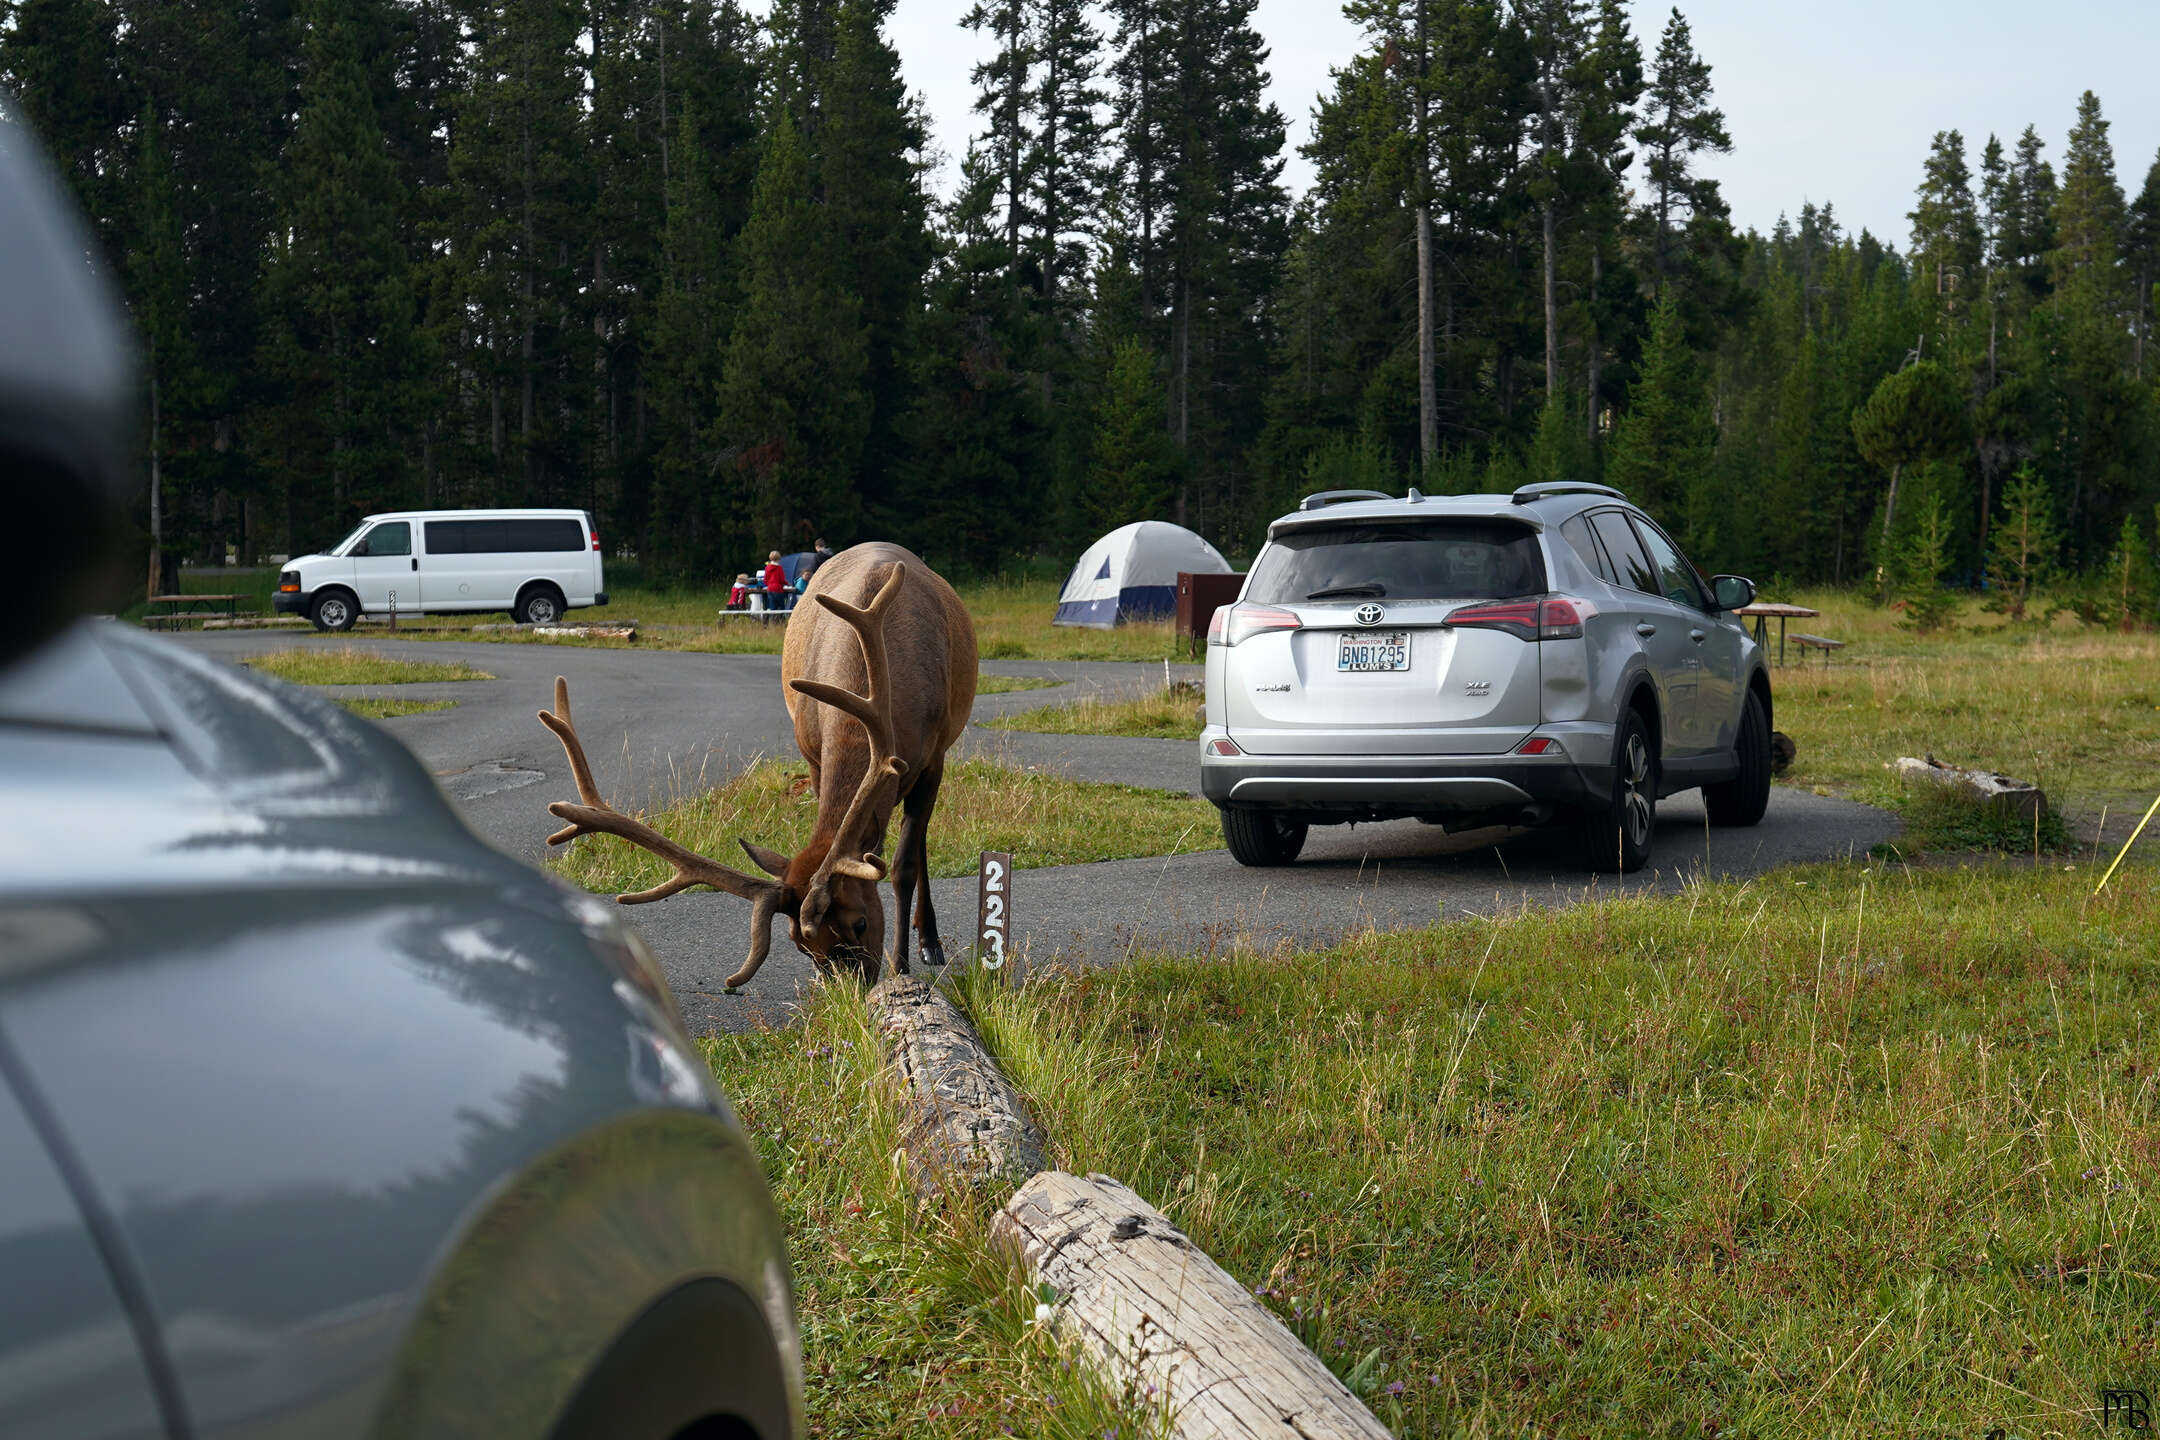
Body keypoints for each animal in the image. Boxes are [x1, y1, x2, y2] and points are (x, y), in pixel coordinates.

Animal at [540, 544, 980, 993]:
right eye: (803, 947)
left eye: (859, 922)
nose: (851, 994)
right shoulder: (813, 754)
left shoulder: (934, 752)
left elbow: (903, 866)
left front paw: (902, 967)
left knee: (918, 840)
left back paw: (929, 941)